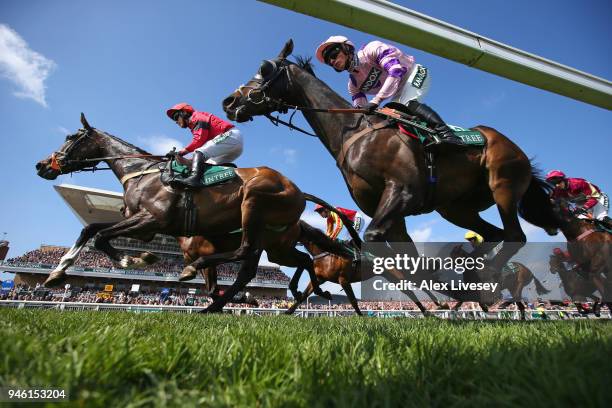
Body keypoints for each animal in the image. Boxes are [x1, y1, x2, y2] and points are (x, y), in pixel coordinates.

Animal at [34, 115, 358, 312]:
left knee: (245, 253)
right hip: (275, 244)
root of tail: (298, 190)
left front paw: (132, 260)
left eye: (71, 137)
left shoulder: (153, 219)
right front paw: (57, 272)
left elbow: (101, 236)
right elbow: (91, 230)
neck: (142, 172)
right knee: (278, 263)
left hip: (253, 204)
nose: (41, 165)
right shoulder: (144, 226)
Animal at [221, 39, 556, 296]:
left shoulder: (403, 193)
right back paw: (473, 270)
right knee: (494, 234)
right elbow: (410, 264)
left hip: (504, 185)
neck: (354, 133)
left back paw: (488, 273)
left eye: (264, 68)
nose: (229, 101)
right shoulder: (390, 213)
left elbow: (377, 241)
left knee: (515, 235)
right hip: (456, 208)